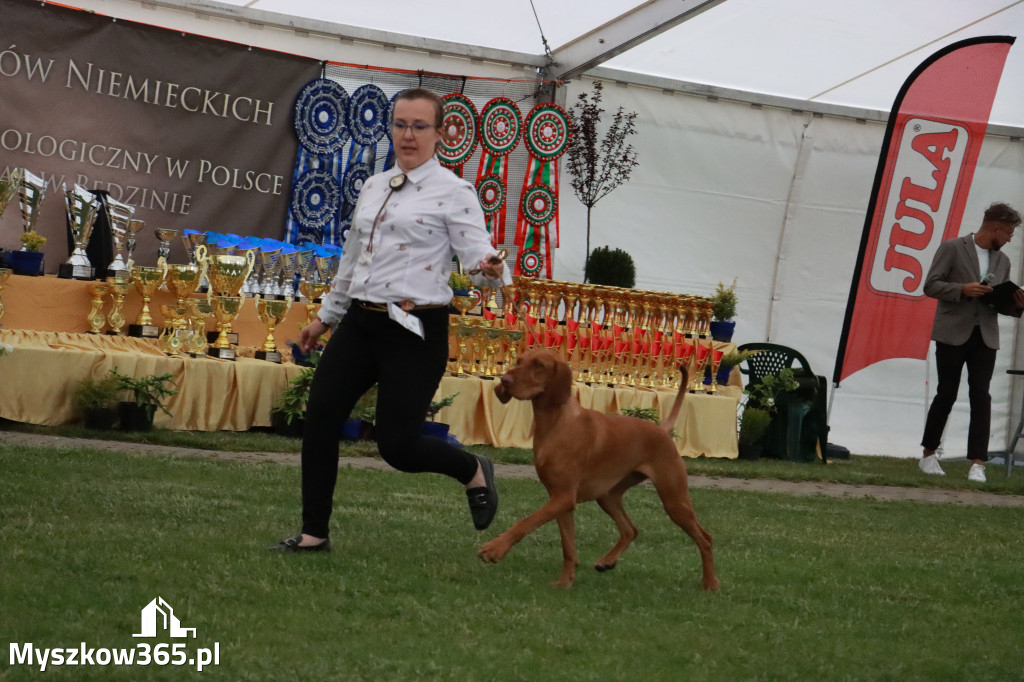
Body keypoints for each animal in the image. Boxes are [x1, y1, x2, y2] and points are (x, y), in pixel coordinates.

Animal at [481, 348, 716, 585]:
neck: (555, 424)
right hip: (607, 496)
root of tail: (661, 429)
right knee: (631, 530)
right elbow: (568, 546)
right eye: (519, 361)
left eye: (538, 365)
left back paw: (711, 584)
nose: (504, 380)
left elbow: (525, 523)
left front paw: (494, 549)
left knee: (705, 538)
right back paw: (607, 561)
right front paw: (565, 582)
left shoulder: (564, 498)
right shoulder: (560, 498)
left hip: (674, 500)